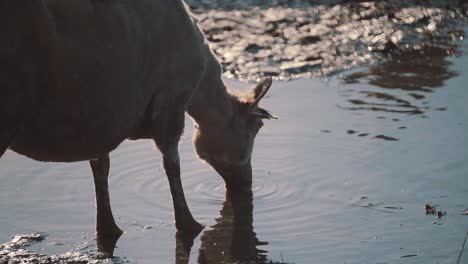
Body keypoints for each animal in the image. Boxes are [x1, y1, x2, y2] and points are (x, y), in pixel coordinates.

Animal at [0, 0, 276, 248]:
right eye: (256, 128)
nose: (247, 185)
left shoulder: (103, 116)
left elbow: (100, 167)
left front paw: (108, 229)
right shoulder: (170, 102)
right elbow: (172, 167)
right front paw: (189, 225)